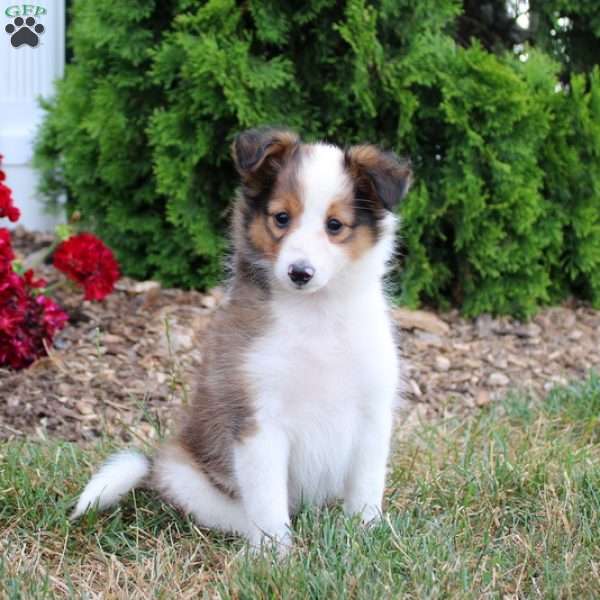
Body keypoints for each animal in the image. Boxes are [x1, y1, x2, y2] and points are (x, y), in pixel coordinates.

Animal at [71, 127, 412, 552]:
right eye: (281, 218)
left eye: (335, 225)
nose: (300, 272)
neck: (316, 315)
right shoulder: (257, 420)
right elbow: (267, 502)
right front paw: (275, 555)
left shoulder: (372, 412)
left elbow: (366, 487)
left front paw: (366, 535)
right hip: (186, 477)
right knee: (240, 515)